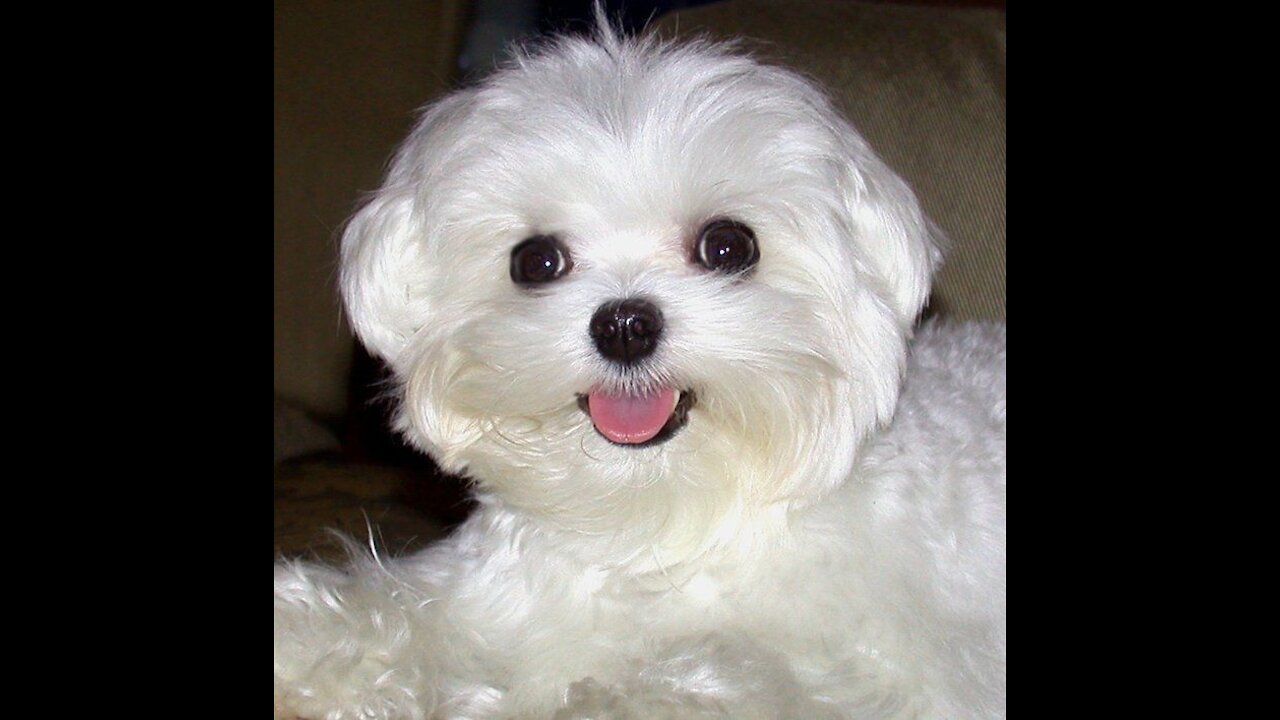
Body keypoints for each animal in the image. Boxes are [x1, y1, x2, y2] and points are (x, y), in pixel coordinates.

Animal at [275, 18, 1003, 717]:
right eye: (535, 260)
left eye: (728, 245)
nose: (624, 326)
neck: (660, 523)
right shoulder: (486, 601)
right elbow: (407, 615)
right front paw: (303, 640)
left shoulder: (909, 670)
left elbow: (724, 677)